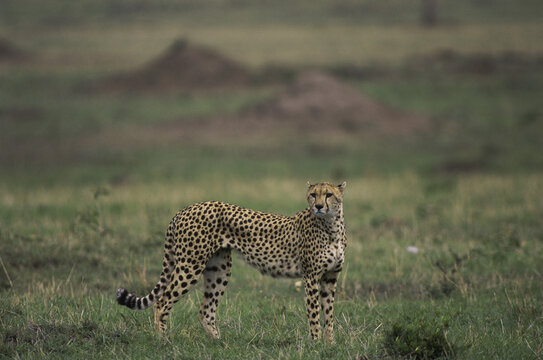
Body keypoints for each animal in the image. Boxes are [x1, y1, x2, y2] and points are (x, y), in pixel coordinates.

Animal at [117, 181, 348, 342]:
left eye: (329, 194)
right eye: (313, 194)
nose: (319, 206)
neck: (331, 226)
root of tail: (185, 209)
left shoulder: (330, 278)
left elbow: (329, 314)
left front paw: (330, 344)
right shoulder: (311, 277)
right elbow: (314, 313)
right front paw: (315, 344)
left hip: (219, 268)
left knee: (205, 311)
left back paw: (218, 343)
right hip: (190, 265)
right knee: (162, 302)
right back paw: (163, 341)